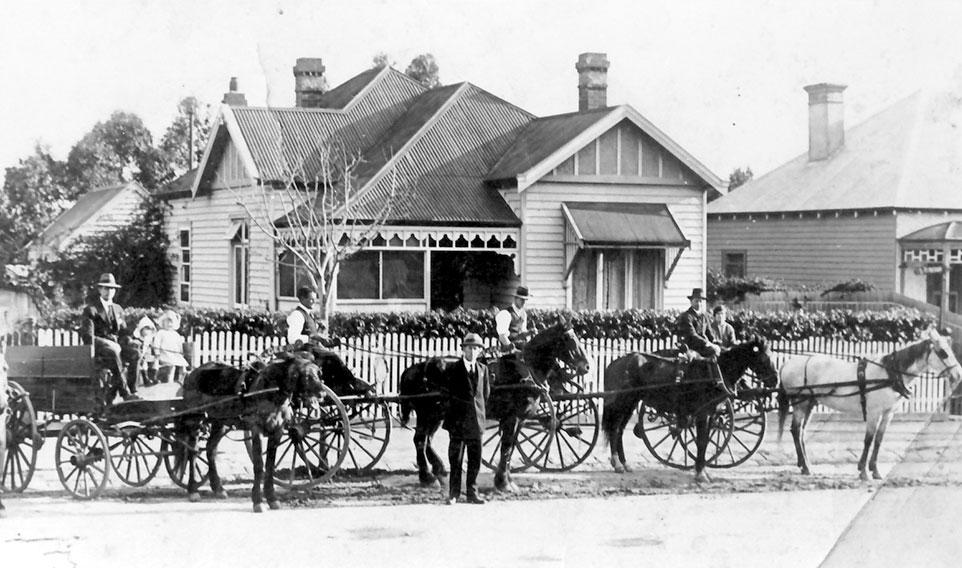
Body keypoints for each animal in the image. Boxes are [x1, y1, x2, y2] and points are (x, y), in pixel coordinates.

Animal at [178, 352, 328, 512]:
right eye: (306, 376)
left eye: (318, 373)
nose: (323, 393)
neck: (271, 390)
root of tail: (192, 373)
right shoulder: (257, 430)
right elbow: (259, 465)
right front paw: (257, 501)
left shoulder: (277, 432)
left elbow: (270, 465)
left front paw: (272, 498)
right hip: (195, 420)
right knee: (193, 452)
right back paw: (193, 490)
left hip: (220, 423)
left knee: (210, 449)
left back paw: (218, 488)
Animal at [396, 324, 584, 492]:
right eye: (569, 339)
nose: (586, 366)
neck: (525, 371)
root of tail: (414, 368)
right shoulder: (512, 418)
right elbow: (506, 446)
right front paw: (503, 483)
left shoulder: (521, 419)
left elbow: (511, 447)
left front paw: (507, 480)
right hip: (426, 414)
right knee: (420, 440)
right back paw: (428, 478)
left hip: (436, 416)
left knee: (427, 440)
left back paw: (439, 470)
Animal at [600, 340, 780, 482]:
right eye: (764, 358)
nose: (775, 380)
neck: (715, 372)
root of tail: (615, 363)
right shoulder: (702, 414)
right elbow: (701, 442)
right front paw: (700, 473)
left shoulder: (711, 414)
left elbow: (705, 442)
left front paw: (703, 470)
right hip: (621, 402)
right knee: (614, 429)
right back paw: (617, 463)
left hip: (630, 403)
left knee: (620, 431)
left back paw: (624, 463)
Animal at [776, 326, 956, 482]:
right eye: (943, 353)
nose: (958, 375)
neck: (889, 373)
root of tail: (787, 364)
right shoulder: (874, 412)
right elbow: (868, 439)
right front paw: (863, 471)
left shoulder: (888, 413)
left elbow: (878, 439)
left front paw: (875, 470)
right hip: (800, 404)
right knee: (796, 430)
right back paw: (806, 467)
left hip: (810, 404)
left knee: (801, 432)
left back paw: (804, 464)